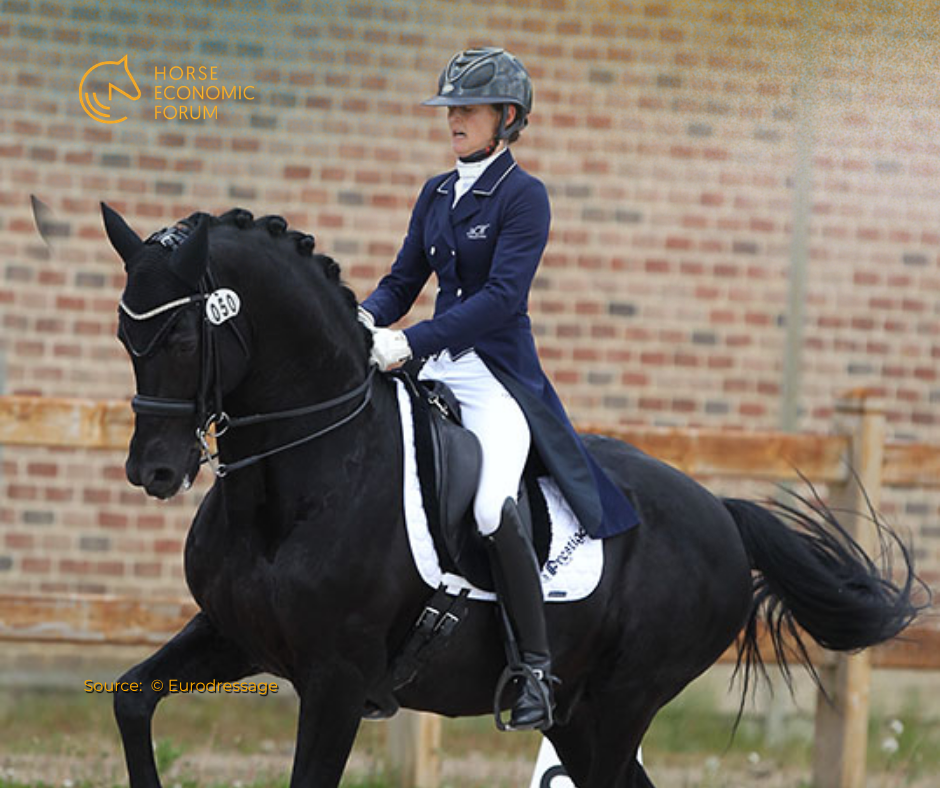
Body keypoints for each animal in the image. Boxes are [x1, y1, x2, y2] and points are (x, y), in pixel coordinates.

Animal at [102, 203, 924, 788]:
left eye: (182, 341)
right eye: (123, 337)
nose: (154, 473)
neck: (304, 480)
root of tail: (720, 513)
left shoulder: (335, 681)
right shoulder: (233, 634)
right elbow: (132, 698)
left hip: (622, 702)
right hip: (580, 716)